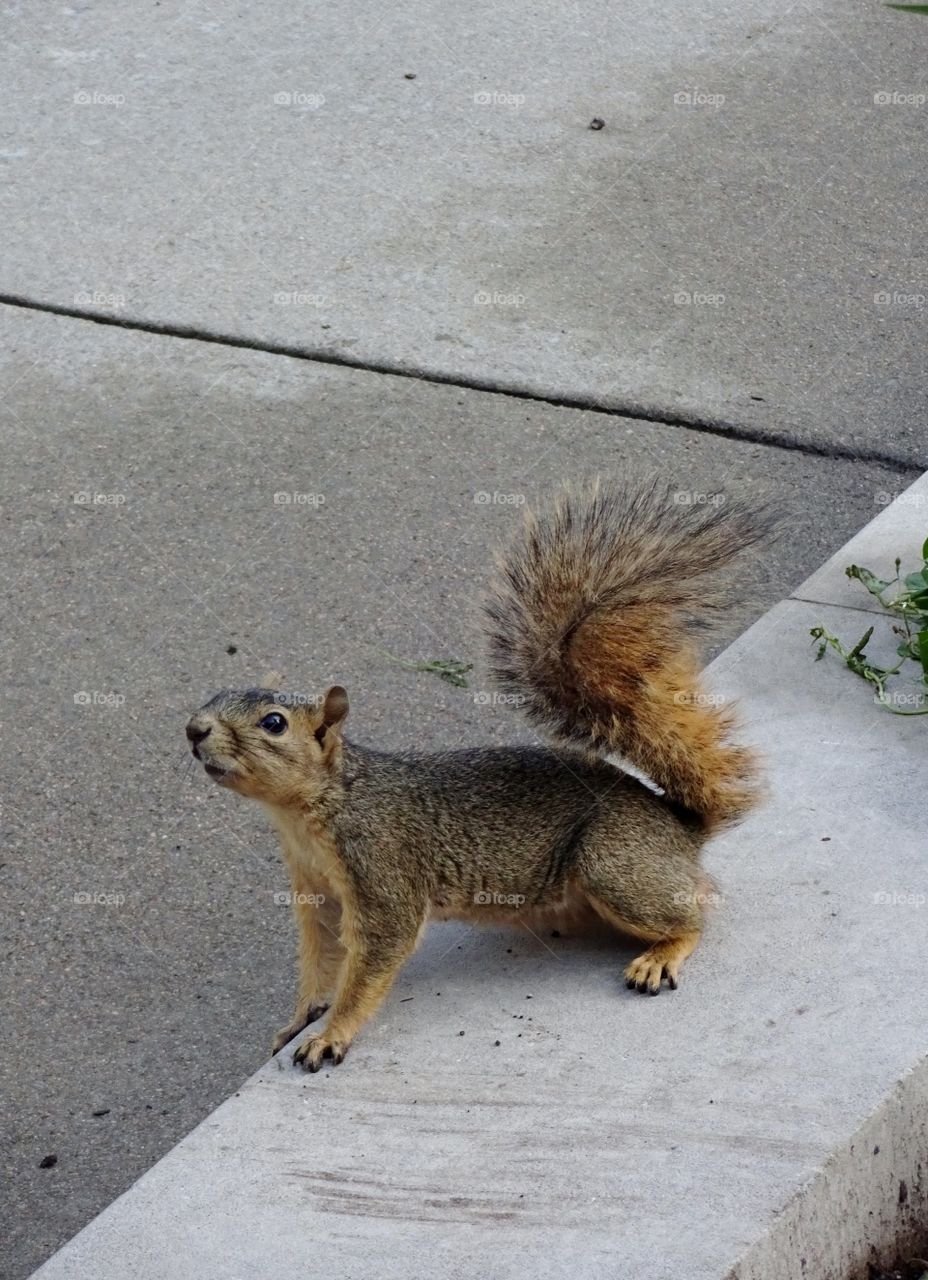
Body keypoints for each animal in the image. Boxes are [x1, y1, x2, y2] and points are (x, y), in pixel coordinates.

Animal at [186, 481, 768, 1070]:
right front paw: (301, 1018)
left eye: (274, 723)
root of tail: (680, 828)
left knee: (694, 917)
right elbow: (321, 960)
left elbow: (374, 957)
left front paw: (332, 1034)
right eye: (214, 696)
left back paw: (662, 954)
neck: (312, 809)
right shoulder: (316, 892)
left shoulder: (381, 865)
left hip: (615, 863)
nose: (193, 729)